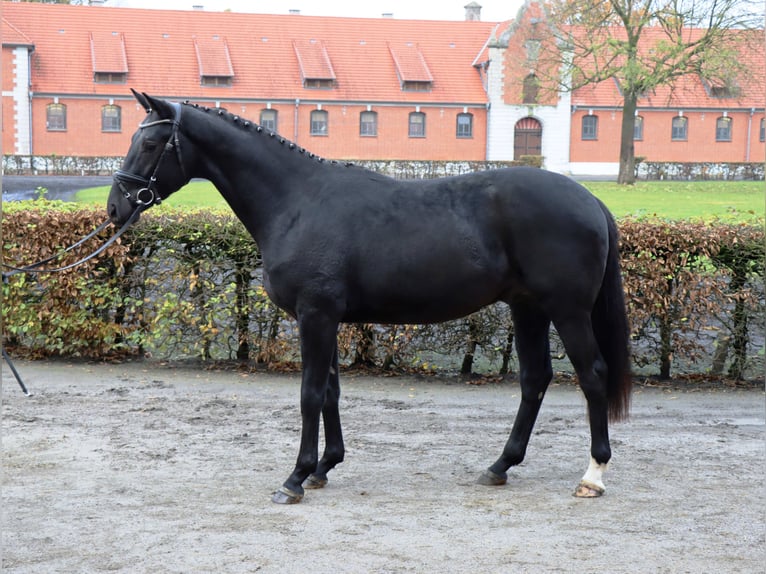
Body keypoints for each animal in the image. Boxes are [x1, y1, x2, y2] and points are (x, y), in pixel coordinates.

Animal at [109, 90, 636, 504]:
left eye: (151, 143)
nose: (116, 208)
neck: (297, 202)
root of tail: (590, 200)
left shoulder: (315, 316)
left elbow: (309, 395)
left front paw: (295, 478)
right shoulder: (325, 318)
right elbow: (330, 393)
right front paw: (323, 468)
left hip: (567, 311)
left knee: (592, 375)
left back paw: (593, 475)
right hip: (528, 309)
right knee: (534, 379)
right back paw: (499, 466)